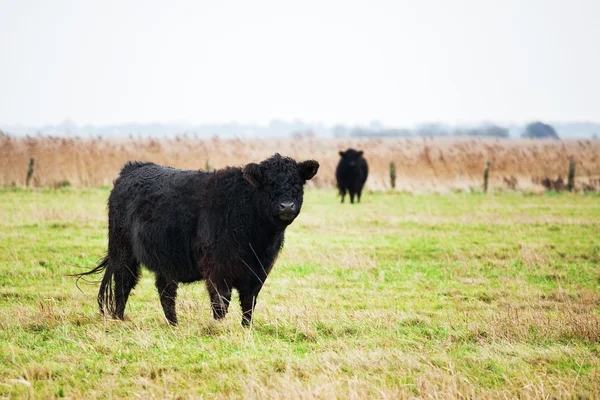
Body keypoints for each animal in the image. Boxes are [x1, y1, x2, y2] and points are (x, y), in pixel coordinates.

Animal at [74, 153, 318, 324]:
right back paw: (119, 319)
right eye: (269, 184)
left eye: (298, 183)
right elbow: (221, 302)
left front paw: (245, 329)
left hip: (165, 259)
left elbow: (249, 303)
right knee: (123, 284)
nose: (287, 206)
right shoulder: (217, 269)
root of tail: (134, 167)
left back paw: (174, 325)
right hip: (122, 250)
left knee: (165, 291)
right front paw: (219, 328)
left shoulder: (258, 271)